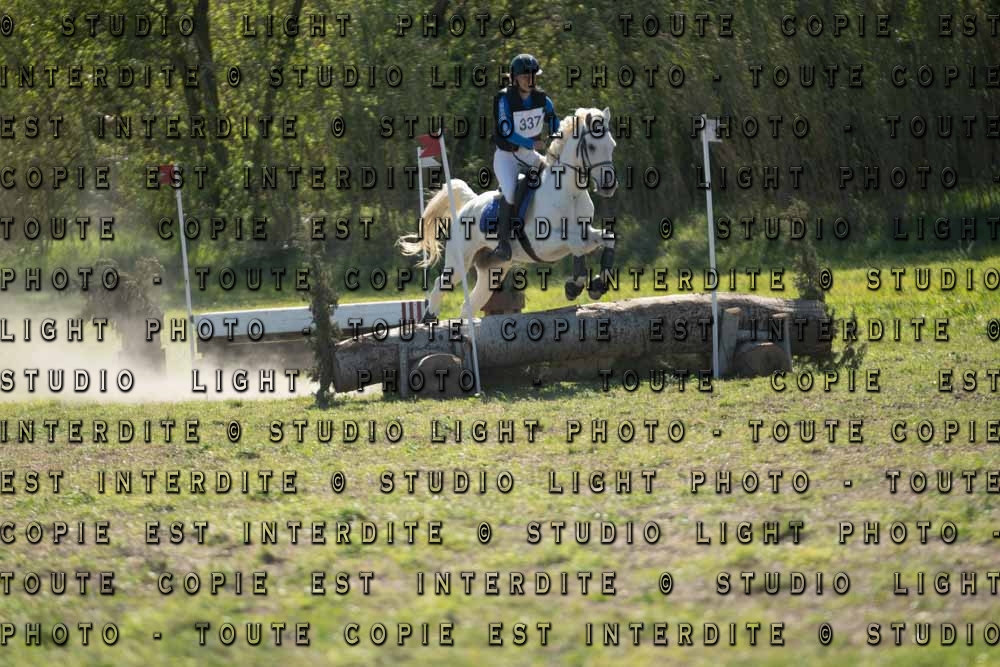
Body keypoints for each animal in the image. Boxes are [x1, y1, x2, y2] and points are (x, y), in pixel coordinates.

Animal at [398, 106, 619, 322]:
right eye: (592, 147)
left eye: (612, 145)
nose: (609, 186)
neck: (570, 192)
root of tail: (468, 204)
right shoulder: (542, 243)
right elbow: (576, 244)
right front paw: (574, 287)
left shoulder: (585, 231)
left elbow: (607, 238)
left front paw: (598, 285)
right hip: (460, 261)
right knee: (439, 284)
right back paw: (429, 317)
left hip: (493, 270)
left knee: (469, 304)